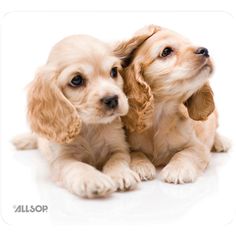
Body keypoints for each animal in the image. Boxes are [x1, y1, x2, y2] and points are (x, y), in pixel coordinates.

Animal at [12, 34, 143, 197]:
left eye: (114, 71)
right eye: (76, 80)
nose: (112, 99)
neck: (90, 126)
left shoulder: (119, 147)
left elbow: (117, 159)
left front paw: (121, 174)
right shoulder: (62, 159)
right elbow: (78, 166)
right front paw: (93, 179)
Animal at [115, 24, 230, 183]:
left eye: (189, 43)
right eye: (166, 51)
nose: (205, 50)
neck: (161, 113)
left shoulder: (198, 147)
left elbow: (185, 153)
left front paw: (177, 170)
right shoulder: (129, 144)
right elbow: (135, 153)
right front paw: (141, 166)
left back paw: (221, 142)